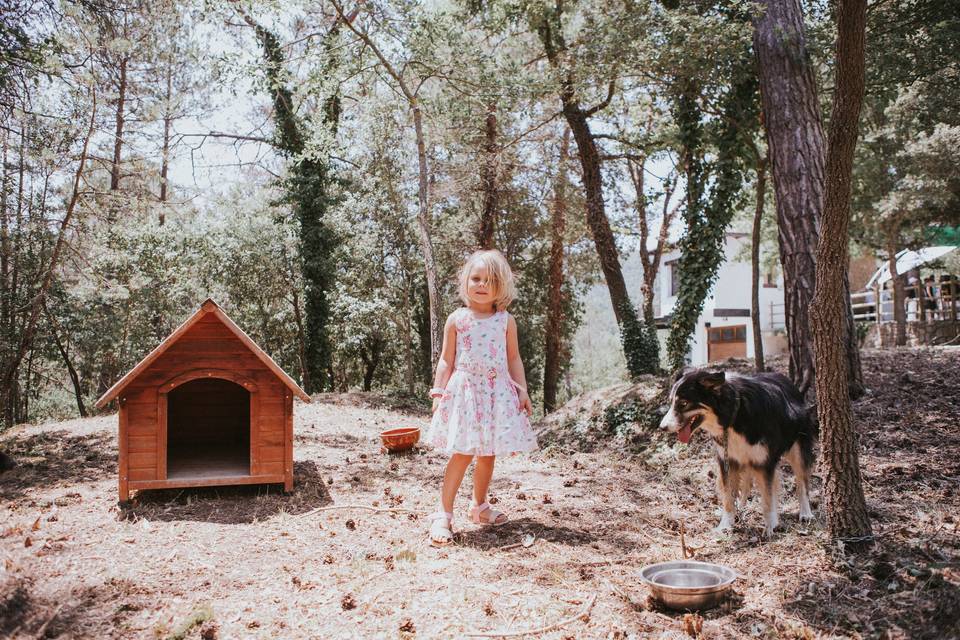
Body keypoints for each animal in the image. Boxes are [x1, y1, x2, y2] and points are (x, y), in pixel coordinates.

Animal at [660, 368, 816, 536]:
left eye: (683, 403)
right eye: (671, 402)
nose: (662, 427)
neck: (734, 415)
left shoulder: (764, 462)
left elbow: (767, 497)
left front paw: (769, 527)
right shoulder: (728, 460)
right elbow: (728, 496)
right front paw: (725, 525)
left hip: (798, 450)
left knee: (802, 484)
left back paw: (805, 513)